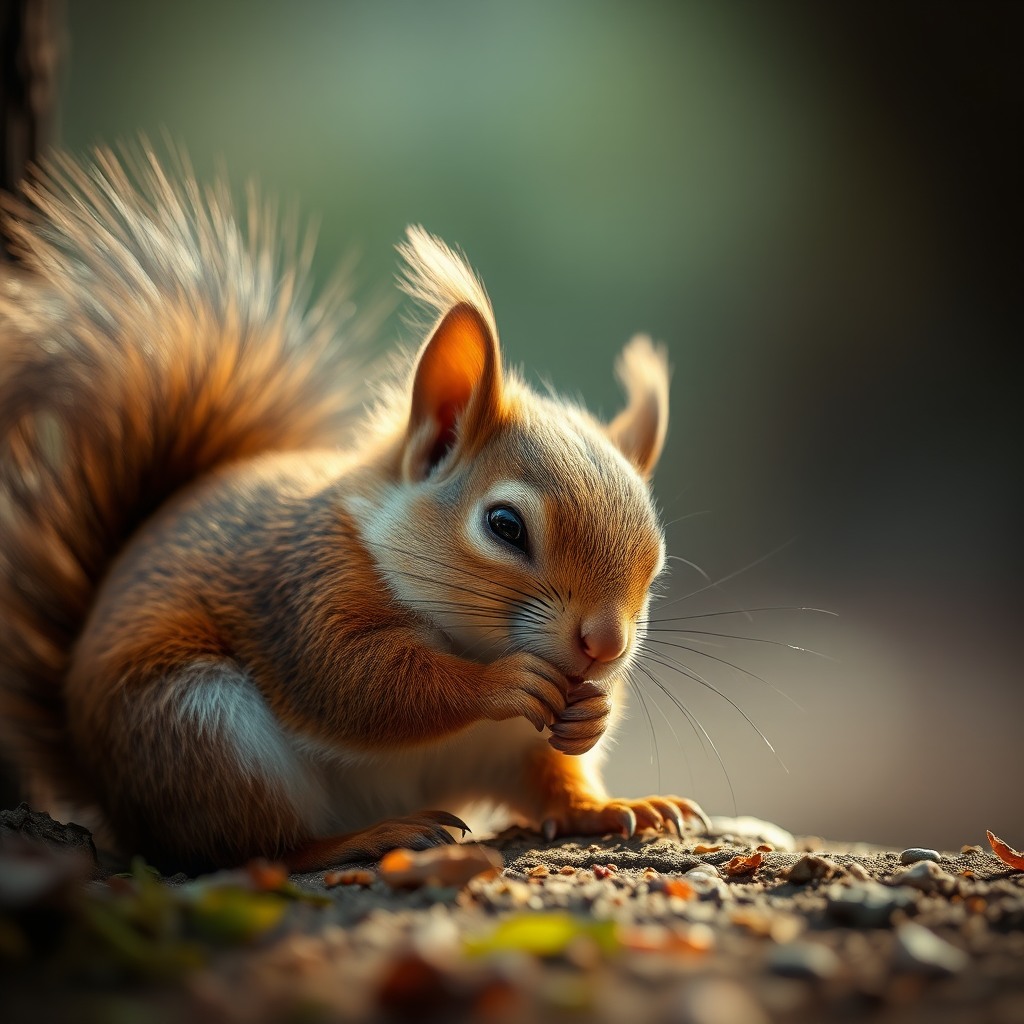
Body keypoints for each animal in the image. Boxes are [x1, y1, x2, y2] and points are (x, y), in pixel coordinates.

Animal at [0, 148, 710, 874]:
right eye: (505, 527)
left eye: (655, 568)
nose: (604, 647)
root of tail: (109, 794)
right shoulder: (310, 592)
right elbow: (361, 682)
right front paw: (500, 682)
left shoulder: (516, 746)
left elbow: (554, 781)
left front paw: (601, 757)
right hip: (199, 728)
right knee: (258, 847)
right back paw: (370, 837)